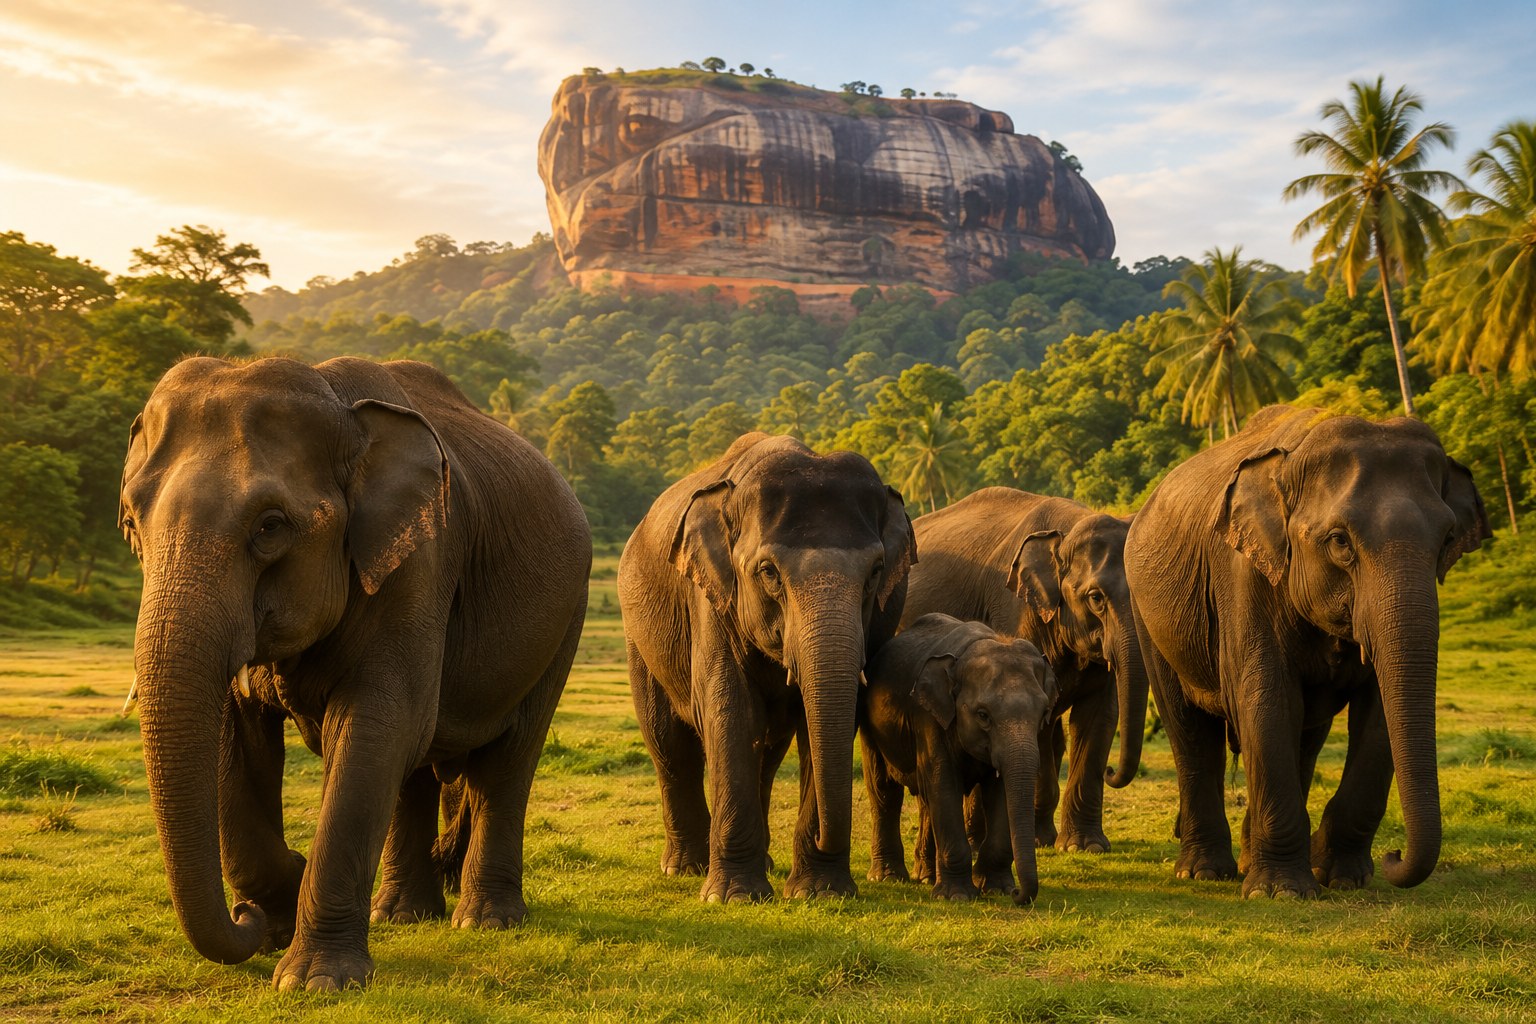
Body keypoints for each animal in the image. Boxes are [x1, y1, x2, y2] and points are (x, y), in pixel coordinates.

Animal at [118, 355, 591, 990]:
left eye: (270, 526)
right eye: (131, 522)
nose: (243, 917)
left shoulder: (421, 564)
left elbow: (380, 724)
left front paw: (315, 981)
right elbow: (234, 739)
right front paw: (276, 914)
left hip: (568, 616)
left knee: (507, 758)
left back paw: (486, 921)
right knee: (418, 768)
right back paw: (401, 914)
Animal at [618, 432, 915, 902]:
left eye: (876, 571)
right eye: (769, 572)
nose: (824, 836)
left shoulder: (887, 610)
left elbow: (824, 722)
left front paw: (820, 892)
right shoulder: (711, 599)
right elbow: (732, 714)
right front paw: (733, 897)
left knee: (767, 753)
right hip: (638, 635)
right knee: (668, 743)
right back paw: (685, 867)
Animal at [860, 613, 1057, 905]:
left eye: (1044, 712)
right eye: (983, 715)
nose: (1017, 894)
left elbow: (999, 792)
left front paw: (997, 889)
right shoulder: (928, 716)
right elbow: (944, 784)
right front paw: (956, 896)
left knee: (926, 800)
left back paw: (926, 877)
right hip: (870, 725)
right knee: (885, 791)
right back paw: (888, 877)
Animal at [898, 488, 1149, 855]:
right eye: (1095, 598)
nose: (1112, 770)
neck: (1066, 531)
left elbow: (1100, 715)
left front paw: (1084, 846)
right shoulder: (1015, 614)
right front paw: (1039, 841)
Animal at [1123, 406, 1489, 899]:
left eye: (1448, 538)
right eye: (1339, 541)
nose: (1394, 855)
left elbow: (1377, 717)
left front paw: (1343, 878)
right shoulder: (1243, 577)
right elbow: (1268, 701)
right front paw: (1281, 892)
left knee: (1305, 737)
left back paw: (1245, 860)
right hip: (1148, 616)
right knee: (1188, 726)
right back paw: (1203, 871)